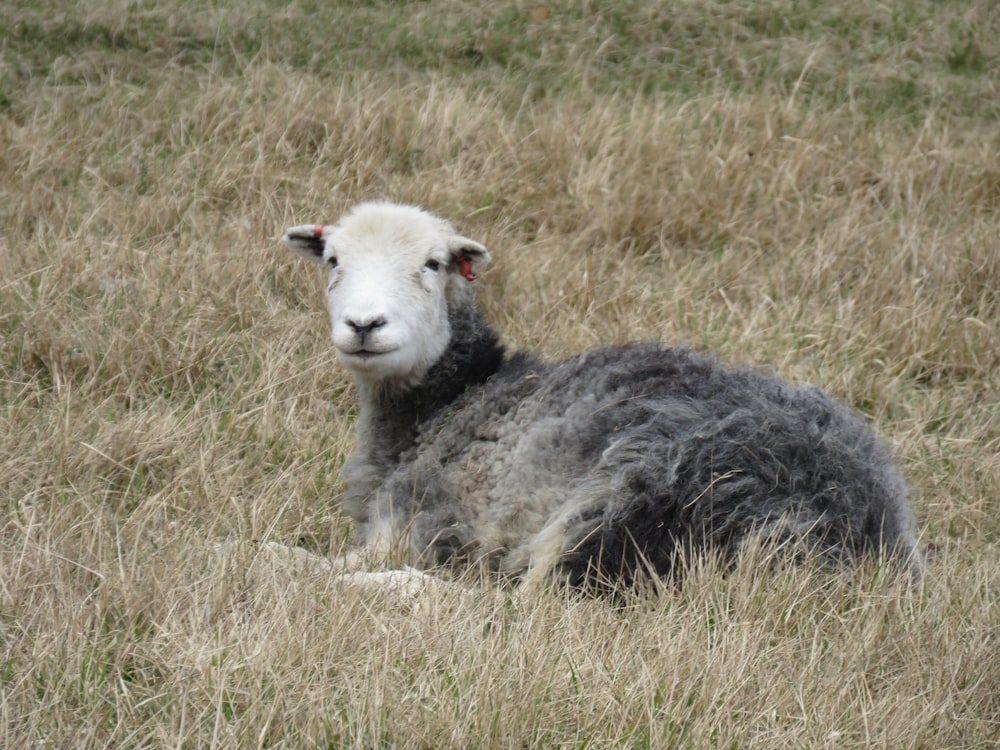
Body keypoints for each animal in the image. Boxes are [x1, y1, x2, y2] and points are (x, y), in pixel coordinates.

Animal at [282, 201, 920, 592]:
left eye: (434, 264)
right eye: (333, 260)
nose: (365, 325)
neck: (450, 401)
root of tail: (855, 520)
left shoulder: (419, 522)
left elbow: (291, 557)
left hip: (625, 505)